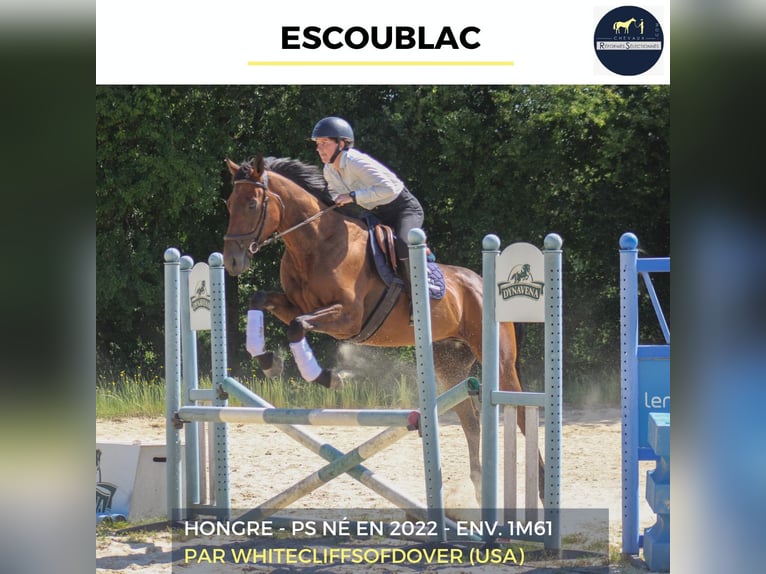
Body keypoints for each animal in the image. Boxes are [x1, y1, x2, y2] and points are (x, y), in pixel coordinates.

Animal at [222, 155, 544, 502]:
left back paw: (540, 485)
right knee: (471, 420)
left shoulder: (348, 318)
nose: (232, 262)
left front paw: (327, 377)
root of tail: (482, 283)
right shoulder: (293, 304)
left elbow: (297, 327)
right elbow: (260, 299)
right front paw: (267, 360)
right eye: (229, 204)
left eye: (252, 204)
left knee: (519, 410)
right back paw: (480, 486)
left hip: (498, 360)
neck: (316, 244)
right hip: (450, 365)